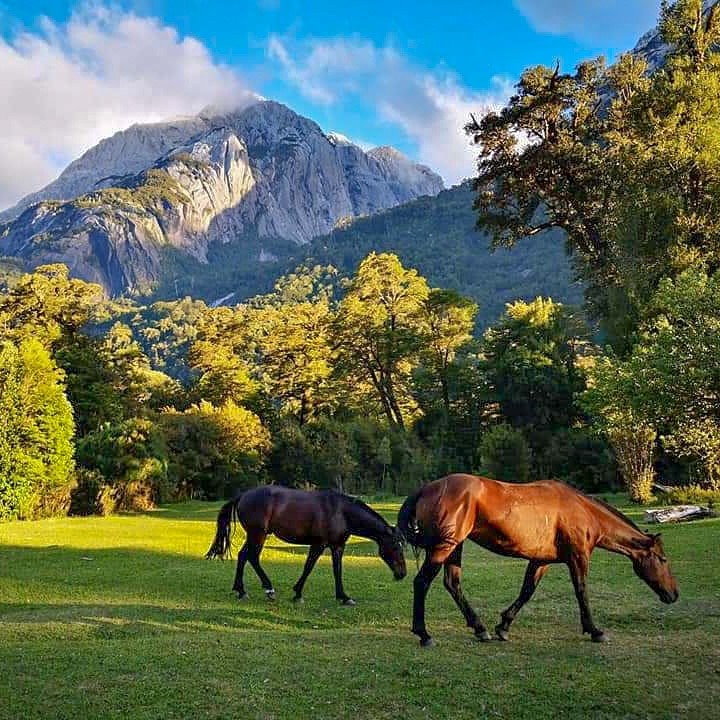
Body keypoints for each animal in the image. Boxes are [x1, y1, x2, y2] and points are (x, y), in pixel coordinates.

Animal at [206, 486, 407, 604]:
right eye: (396, 547)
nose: (402, 574)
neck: (341, 512)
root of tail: (243, 495)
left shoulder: (337, 547)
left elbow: (337, 570)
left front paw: (343, 597)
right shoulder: (319, 544)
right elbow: (308, 567)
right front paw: (298, 594)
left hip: (255, 535)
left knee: (243, 556)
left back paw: (240, 590)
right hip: (258, 535)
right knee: (252, 557)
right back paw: (268, 589)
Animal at [397, 473, 679, 647]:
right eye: (663, 559)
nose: (674, 594)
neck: (583, 511)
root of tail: (428, 487)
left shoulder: (540, 561)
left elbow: (526, 591)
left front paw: (503, 626)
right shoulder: (578, 557)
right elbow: (582, 591)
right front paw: (595, 631)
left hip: (455, 547)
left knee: (452, 583)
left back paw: (480, 629)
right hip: (445, 547)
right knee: (422, 582)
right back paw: (424, 635)